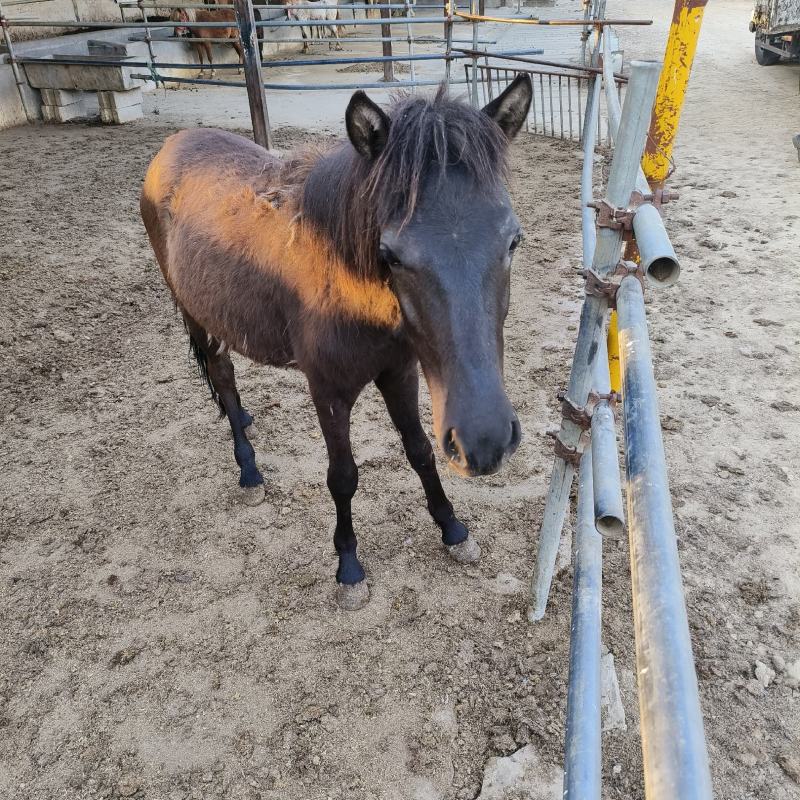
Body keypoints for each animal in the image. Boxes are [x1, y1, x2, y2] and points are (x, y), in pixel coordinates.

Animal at [140, 76, 533, 609]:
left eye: (512, 240)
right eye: (390, 254)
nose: (484, 441)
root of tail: (172, 146)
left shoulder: (399, 371)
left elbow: (420, 450)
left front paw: (453, 529)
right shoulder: (328, 391)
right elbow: (343, 477)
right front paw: (349, 567)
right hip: (197, 315)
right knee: (222, 376)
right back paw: (248, 471)